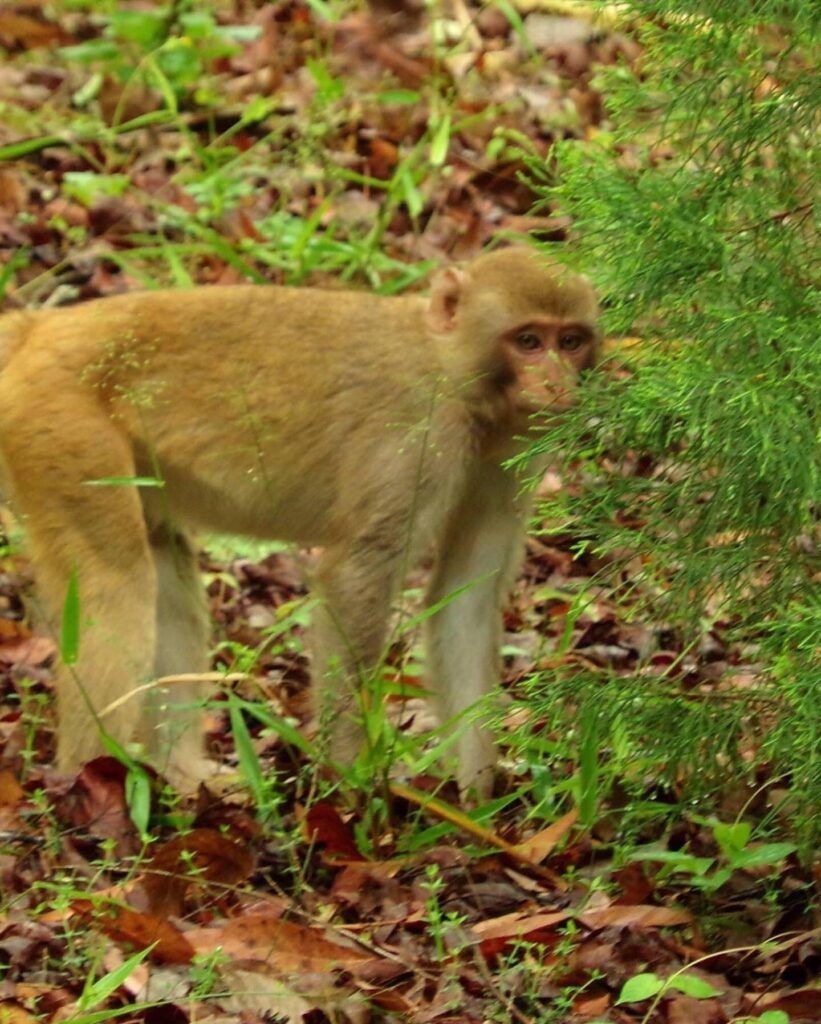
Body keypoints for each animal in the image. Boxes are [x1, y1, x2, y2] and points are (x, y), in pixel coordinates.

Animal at [0, 247, 599, 797]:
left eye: (570, 341)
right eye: (529, 341)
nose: (558, 384)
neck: (452, 370)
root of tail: (37, 329)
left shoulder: (511, 453)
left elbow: (466, 594)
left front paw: (474, 799)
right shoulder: (420, 436)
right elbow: (356, 576)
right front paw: (352, 785)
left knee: (161, 569)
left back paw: (180, 776)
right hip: (59, 425)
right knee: (117, 584)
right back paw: (86, 787)